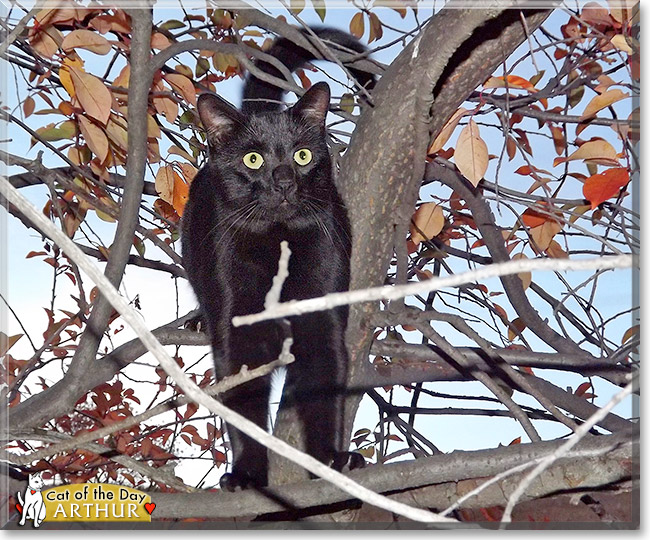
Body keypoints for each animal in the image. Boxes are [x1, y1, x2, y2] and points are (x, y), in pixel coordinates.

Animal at [182, 30, 372, 494]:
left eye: (302, 155)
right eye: (253, 159)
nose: (284, 181)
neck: (278, 244)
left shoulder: (322, 320)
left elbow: (323, 391)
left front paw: (331, 460)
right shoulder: (238, 330)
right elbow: (244, 402)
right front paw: (247, 474)